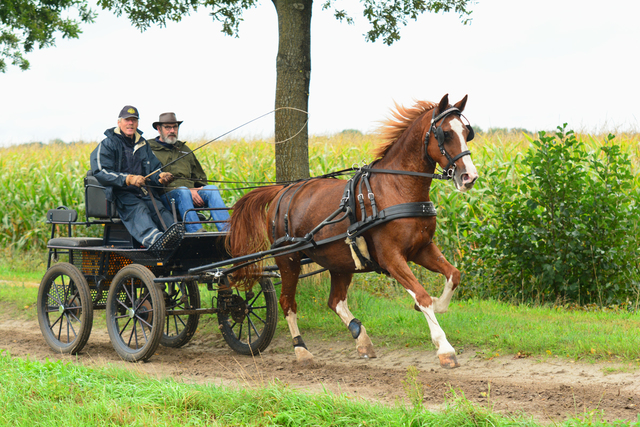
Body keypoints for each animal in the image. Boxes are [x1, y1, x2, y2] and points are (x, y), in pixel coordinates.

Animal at [228, 95, 478, 370]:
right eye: (445, 133)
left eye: (467, 132)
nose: (469, 177)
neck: (396, 188)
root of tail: (281, 190)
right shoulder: (391, 258)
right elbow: (422, 296)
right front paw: (444, 348)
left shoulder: (421, 248)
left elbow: (453, 275)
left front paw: (437, 305)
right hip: (288, 259)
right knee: (287, 302)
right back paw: (301, 349)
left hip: (339, 262)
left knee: (335, 301)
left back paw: (361, 338)